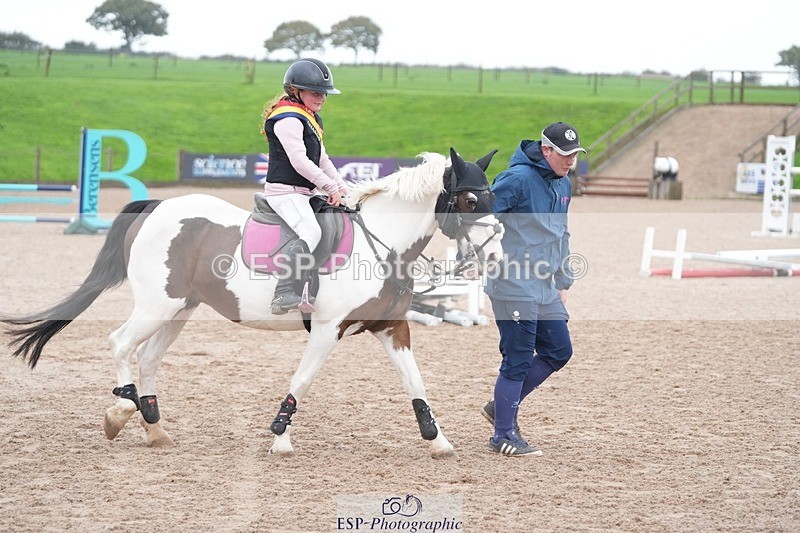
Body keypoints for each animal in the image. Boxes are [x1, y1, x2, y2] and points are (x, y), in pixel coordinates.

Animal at [1, 148, 504, 458]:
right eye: (469, 199)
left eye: (494, 196)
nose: (496, 255)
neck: (382, 243)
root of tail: (158, 206)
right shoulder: (328, 329)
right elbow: (303, 380)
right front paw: (280, 439)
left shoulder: (391, 327)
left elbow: (415, 382)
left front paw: (437, 440)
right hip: (156, 305)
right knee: (121, 343)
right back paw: (120, 412)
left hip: (180, 310)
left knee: (147, 358)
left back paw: (155, 428)